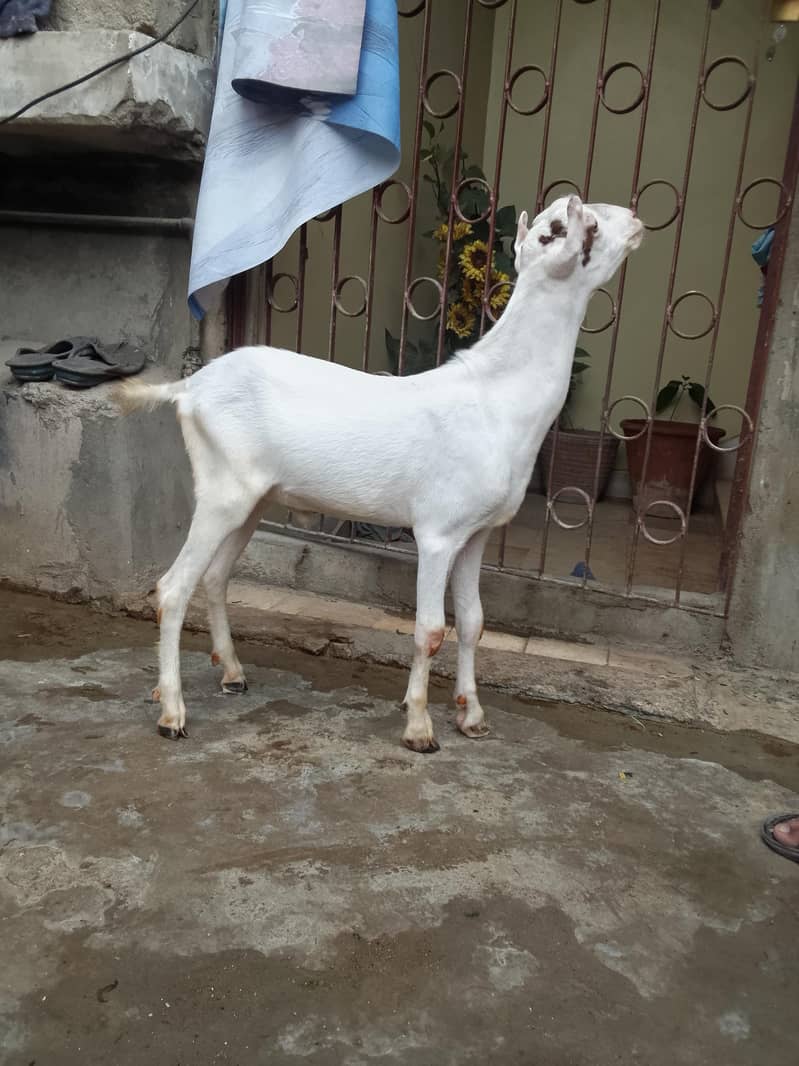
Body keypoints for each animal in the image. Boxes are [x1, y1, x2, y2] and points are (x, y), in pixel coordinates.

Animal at [119, 196, 643, 752]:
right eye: (579, 226)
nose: (635, 219)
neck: (496, 396)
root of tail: (188, 388)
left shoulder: (476, 533)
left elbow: (474, 622)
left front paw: (473, 716)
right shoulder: (437, 533)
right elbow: (431, 629)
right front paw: (419, 728)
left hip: (254, 499)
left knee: (215, 576)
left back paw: (232, 674)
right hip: (222, 491)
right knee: (172, 588)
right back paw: (172, 712)